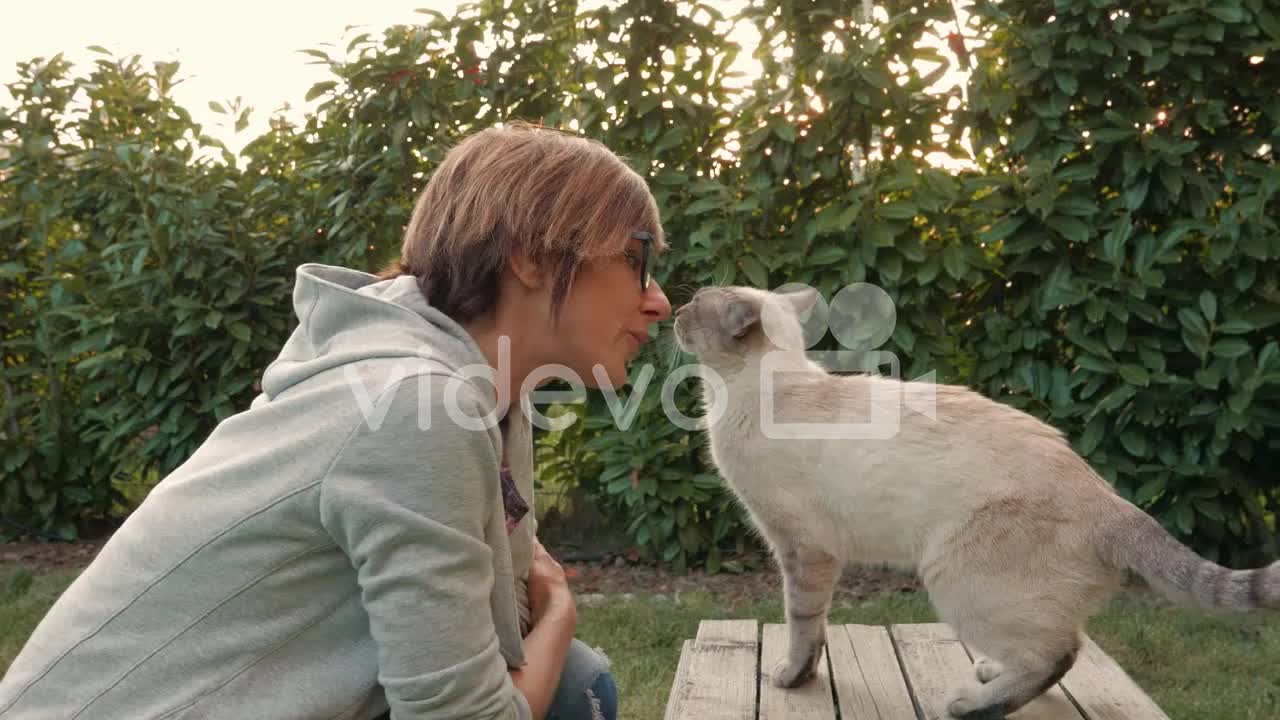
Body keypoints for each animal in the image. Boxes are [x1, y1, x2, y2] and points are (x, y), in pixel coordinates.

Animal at [675, 283, 1274, 717]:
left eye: (693, 305)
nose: (674, 312)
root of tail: (1109, 496)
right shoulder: (811, 554)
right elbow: (817, 630)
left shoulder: (803, 550)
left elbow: (801, 624)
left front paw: (791, 679)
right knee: (1065, 640)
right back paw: (989, 675)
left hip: (954, 580)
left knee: (1058, 653)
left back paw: (972, 704)